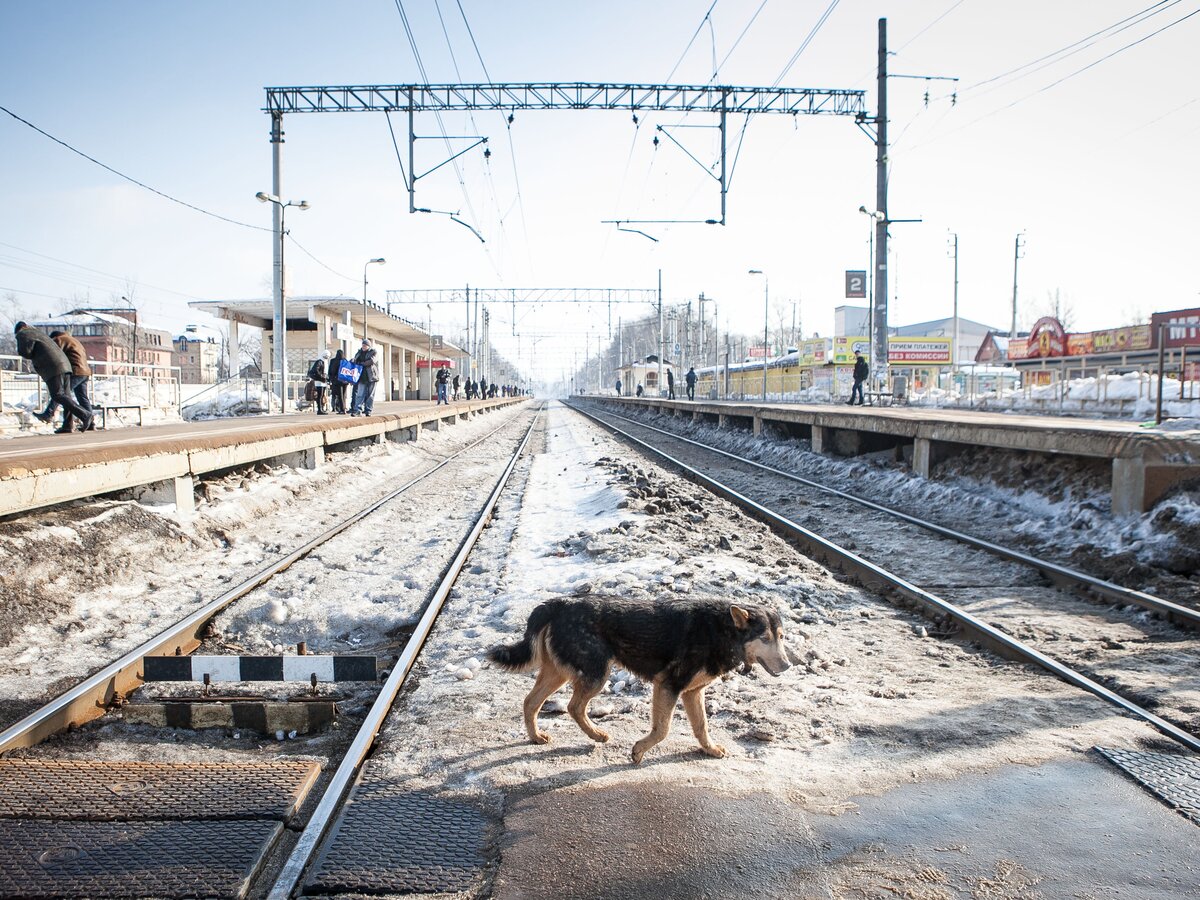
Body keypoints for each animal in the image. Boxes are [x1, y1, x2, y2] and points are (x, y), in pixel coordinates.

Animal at [482, 595, 792, 763]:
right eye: (765, 638)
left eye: (781, 637)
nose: (788, 665)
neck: (723, 629)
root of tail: (559, 603)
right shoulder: (668, 685)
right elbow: (662, 729)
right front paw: (639, 751)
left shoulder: (692, 692)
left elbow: (702, 727)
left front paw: (710, 749)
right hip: (597, 672)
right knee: (573, 706)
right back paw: (596, 734)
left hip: (558, 672)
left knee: (530, 702)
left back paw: (536, 737)